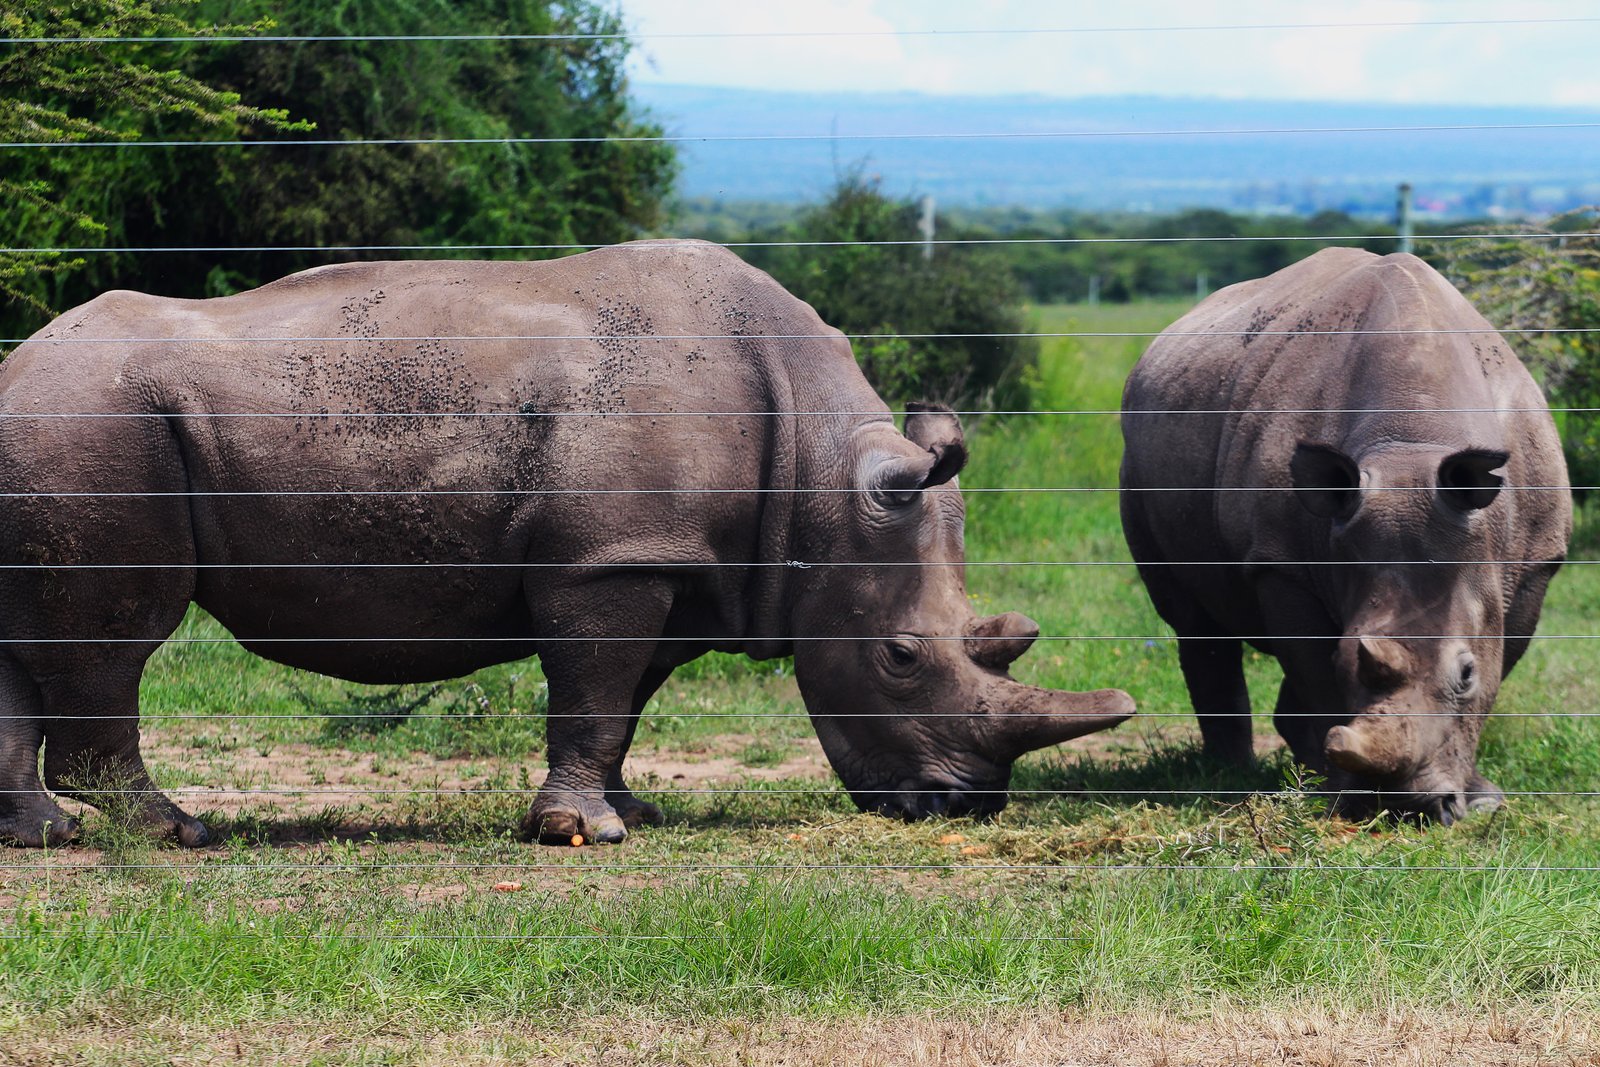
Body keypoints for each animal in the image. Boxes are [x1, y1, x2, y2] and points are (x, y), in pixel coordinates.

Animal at [0, 240, 1133, 847]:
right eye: (899, 656)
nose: (960, 807)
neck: (821, 483)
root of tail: (17, 368)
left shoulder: (669, 557)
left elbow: (620, 699)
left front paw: (621, 810)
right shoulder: (614, 557)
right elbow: (593, 684)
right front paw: (585, 833)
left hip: (52, 426)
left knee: (26, 641)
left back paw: (45, 835)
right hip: (92, 422)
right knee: (117, 637)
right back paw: (172, 833)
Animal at [1119, 247, 1570, 823]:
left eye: (1465, 674)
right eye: (1345, 660)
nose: (1410, 808)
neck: (1413, 437)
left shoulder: (1535, 560)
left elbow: (1501, 660)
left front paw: (1484, 800)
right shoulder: (1280, 562)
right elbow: (1314, 667)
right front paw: (1338, 796)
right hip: (1136, 460)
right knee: (1194, 622)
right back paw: (1232, 773)